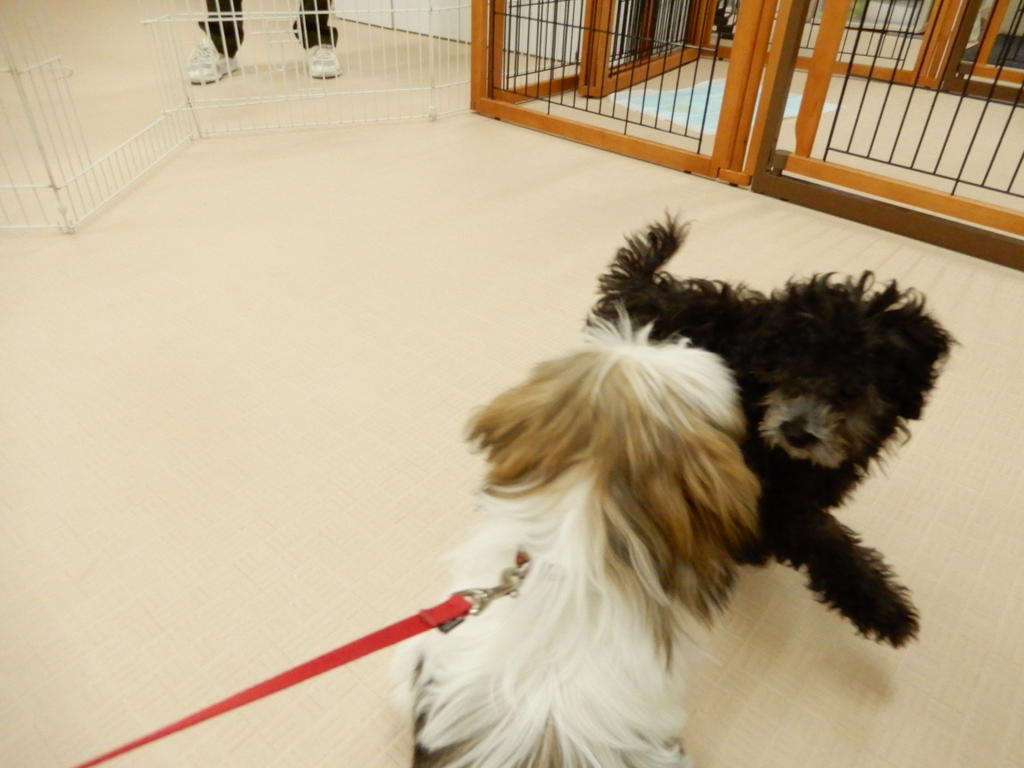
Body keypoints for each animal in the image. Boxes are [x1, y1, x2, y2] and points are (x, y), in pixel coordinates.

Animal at [593, 218, 953, 647]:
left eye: (849, 390)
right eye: (787, 372)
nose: (796, 432)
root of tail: (641, 285)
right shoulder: (768, 487)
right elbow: (820, 538)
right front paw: (881, 606)